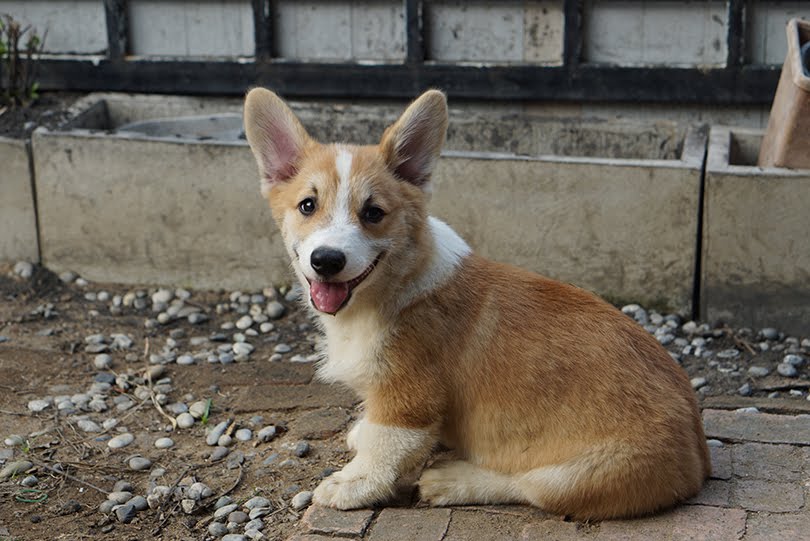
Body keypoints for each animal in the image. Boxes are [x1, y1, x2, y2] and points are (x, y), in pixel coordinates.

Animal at [241, 87, 708, 520]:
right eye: (307, 205)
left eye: (373, 213)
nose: (327, 260)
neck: (393, 285)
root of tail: (698, 458)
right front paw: (361, 434)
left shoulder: (408, 399)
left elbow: (384, 449)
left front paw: (353, 485)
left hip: (576, 476)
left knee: (526, 485)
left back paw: (452, 480)